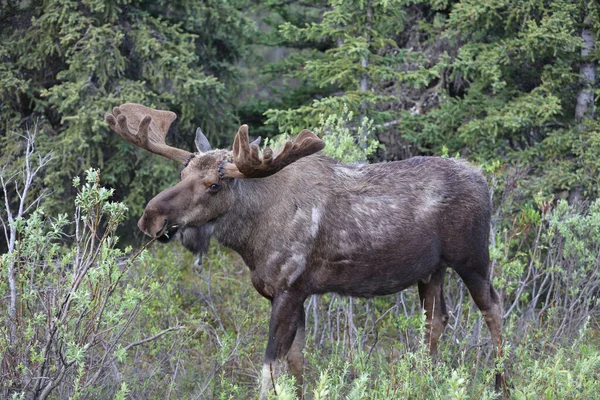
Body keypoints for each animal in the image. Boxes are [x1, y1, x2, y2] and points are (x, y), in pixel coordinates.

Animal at [105, 104, 504, 400]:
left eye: (214, 185)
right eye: (182, 172)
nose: (151, 218)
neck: (251, 238)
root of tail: (484, 180)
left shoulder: (290, 288)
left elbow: (270, 367)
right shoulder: (289, 293)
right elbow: (295, 364)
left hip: (472, 258)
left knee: (493, 310)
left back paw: (501, 384)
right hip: (431, 270)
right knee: (435, 322)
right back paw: (426, 381)